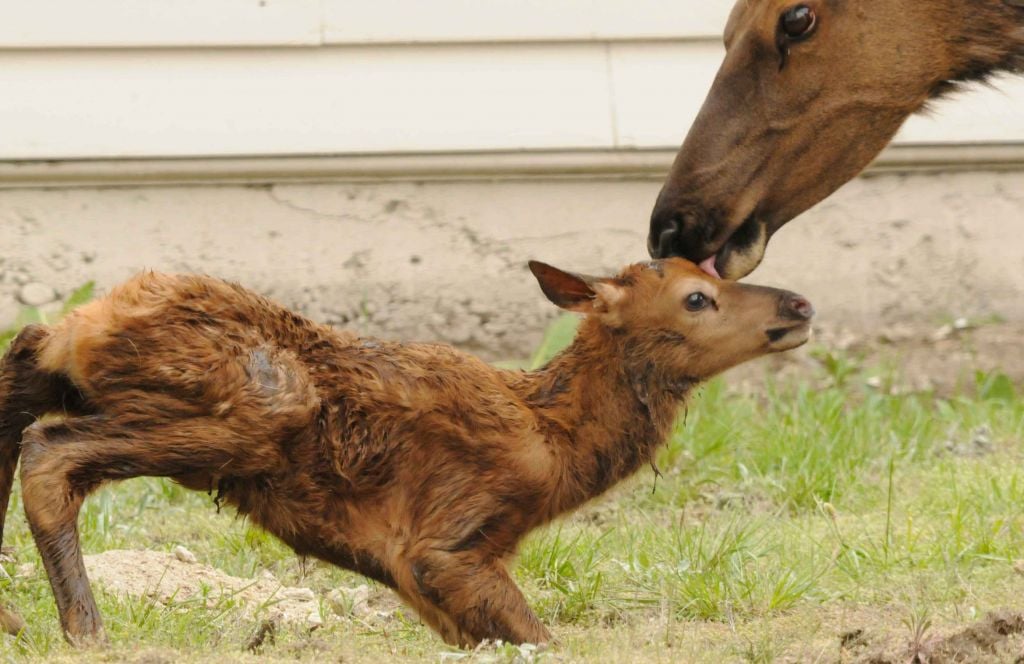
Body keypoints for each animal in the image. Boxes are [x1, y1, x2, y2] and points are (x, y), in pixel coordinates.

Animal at [0, 260, 815, 647]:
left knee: (24, 360)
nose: (801, 305)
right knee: (48, 452)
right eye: (696, 298)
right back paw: (86, 632)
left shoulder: (422, 578)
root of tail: (92, 321)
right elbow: (539, 637)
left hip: (92, 374)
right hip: (257, 404)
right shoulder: (447, 539)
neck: (555, 438)